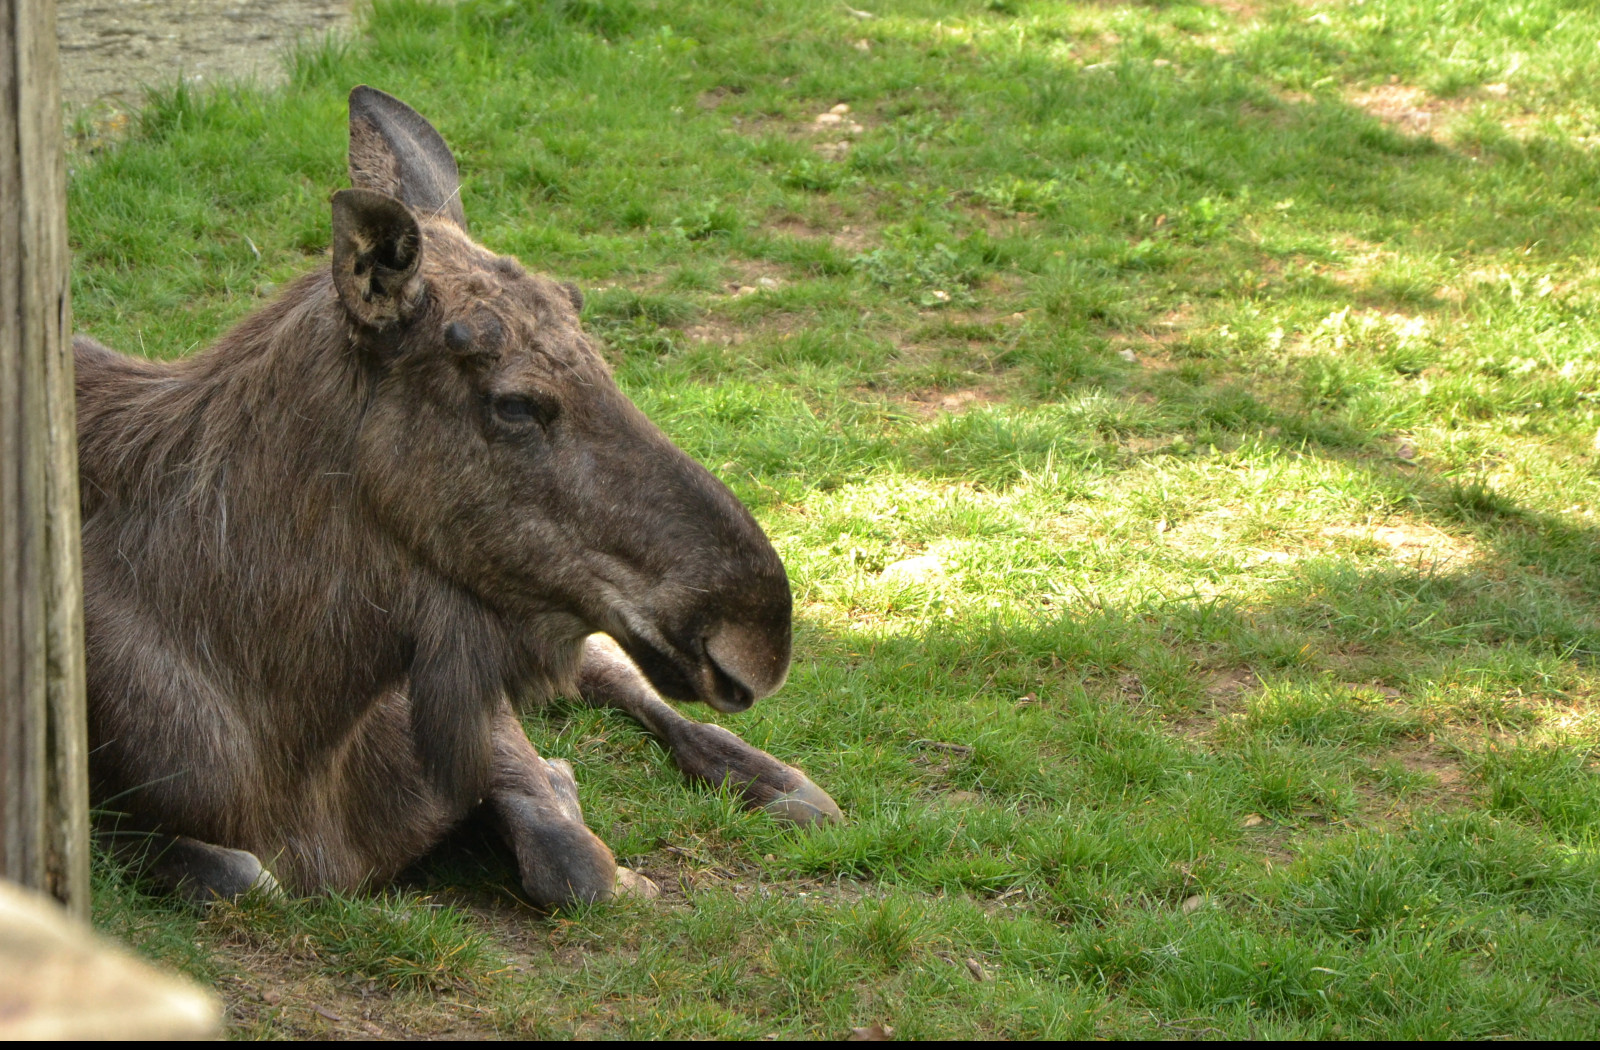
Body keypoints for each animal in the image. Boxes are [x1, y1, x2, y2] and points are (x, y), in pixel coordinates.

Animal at [75, 86, 844, 909]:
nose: (761, 633)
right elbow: (241, 874)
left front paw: (574, 800)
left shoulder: (470, 720)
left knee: (617, 674)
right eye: (515, 404)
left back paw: (776, 779)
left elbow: (575, 862)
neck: (302, 725)